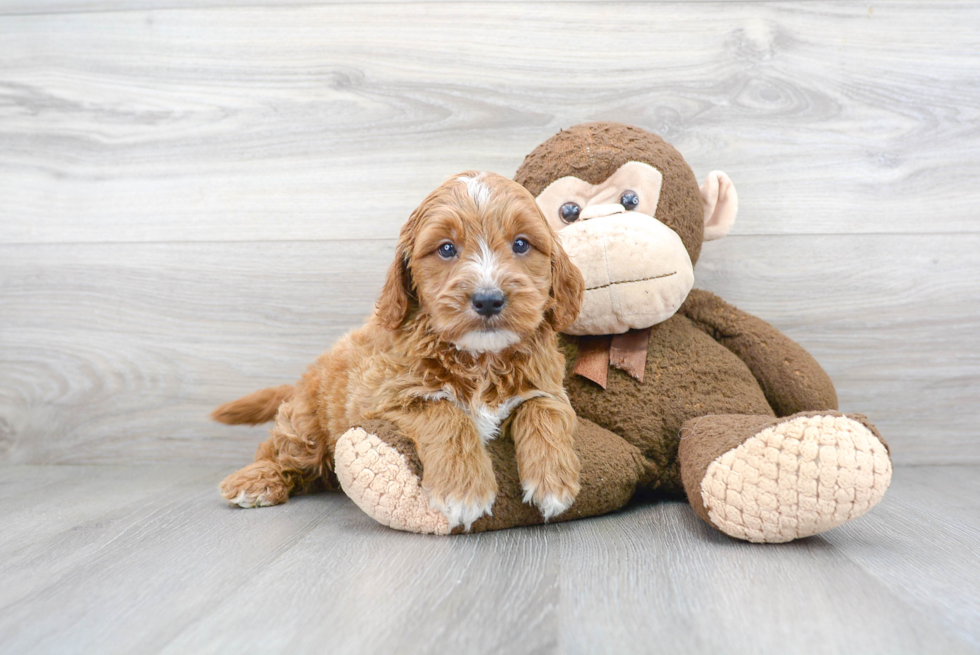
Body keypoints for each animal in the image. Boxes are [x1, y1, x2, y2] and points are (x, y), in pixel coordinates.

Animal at [214, 172, 580, 532]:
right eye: (446, 249)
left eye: (521, 244)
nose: (488, 299)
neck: (481, 359)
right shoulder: (385, 395)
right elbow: (446, 413)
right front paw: (463, 490)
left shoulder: (547, 384)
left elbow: (545, 409)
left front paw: (553, 481)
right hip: (305, 425)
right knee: (279, 450)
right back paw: (256, 481)